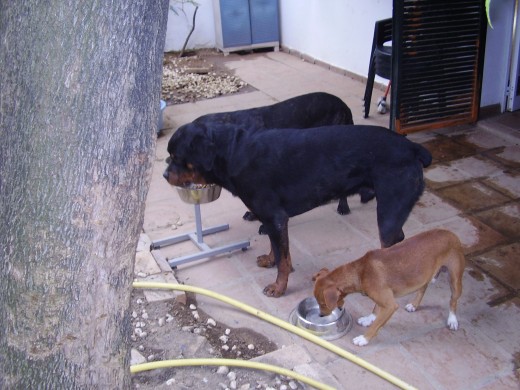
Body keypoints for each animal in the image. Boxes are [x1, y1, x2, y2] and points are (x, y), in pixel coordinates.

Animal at [165, 123, 432, 298]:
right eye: (169, 156)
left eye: (177, 156)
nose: (165, 174)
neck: (231, 153)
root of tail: (413, 148)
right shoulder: (272, 220)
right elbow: (277, 248)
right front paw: (270, 259)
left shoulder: (274, 216)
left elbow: (284, 261)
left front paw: (279, 287)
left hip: (388, 212)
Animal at [310, 230, 466, 346]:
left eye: (323, 303)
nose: (321, 315)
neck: (361, 271)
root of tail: (452, 234)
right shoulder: (383, 298)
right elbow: (376, 309)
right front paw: (369, 318)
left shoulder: (390, 305)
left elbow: (376, 325)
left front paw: (364, 338)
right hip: (423, 276)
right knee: (423, 288)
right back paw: (414, 305)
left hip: (455, 279)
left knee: (453, 300)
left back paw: (452, 320)